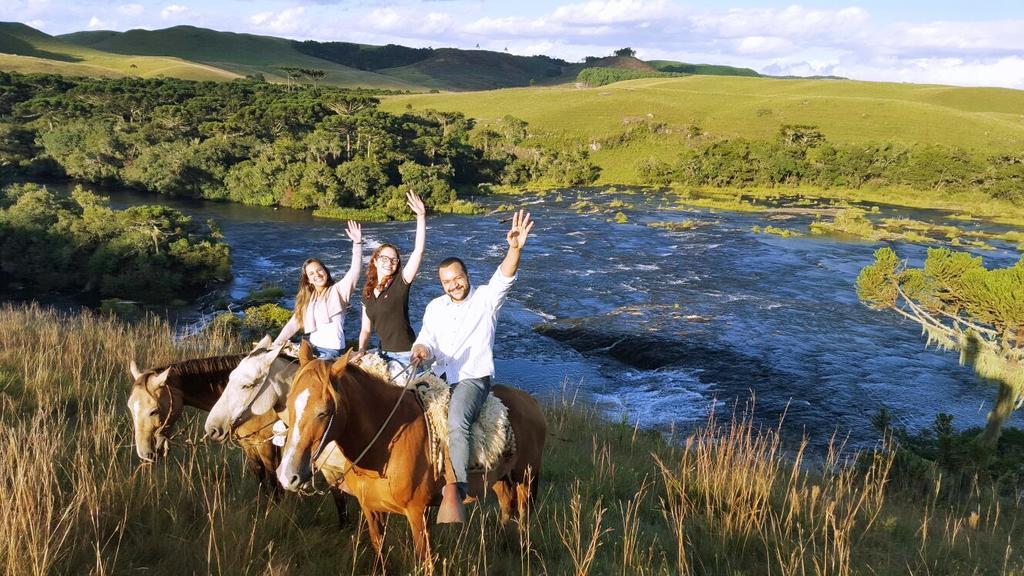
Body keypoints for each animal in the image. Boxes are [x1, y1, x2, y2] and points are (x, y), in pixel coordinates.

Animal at [128, 354, 280, 487]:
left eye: (154, 410)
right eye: (130, 407)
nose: (144, 454)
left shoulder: (267, 446)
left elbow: (274, 484)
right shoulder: (249, 445)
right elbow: (261, 480)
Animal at [272, 340, 544, 565]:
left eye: (324, 412)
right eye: (289, 403)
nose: (287, 476)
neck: (385, 444)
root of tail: (530, 402)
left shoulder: (417, 514)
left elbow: (425, 562)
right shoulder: (372, 511)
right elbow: (380, 554)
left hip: (526, 478)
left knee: (524, 515)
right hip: (499, 478)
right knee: (506, 505)